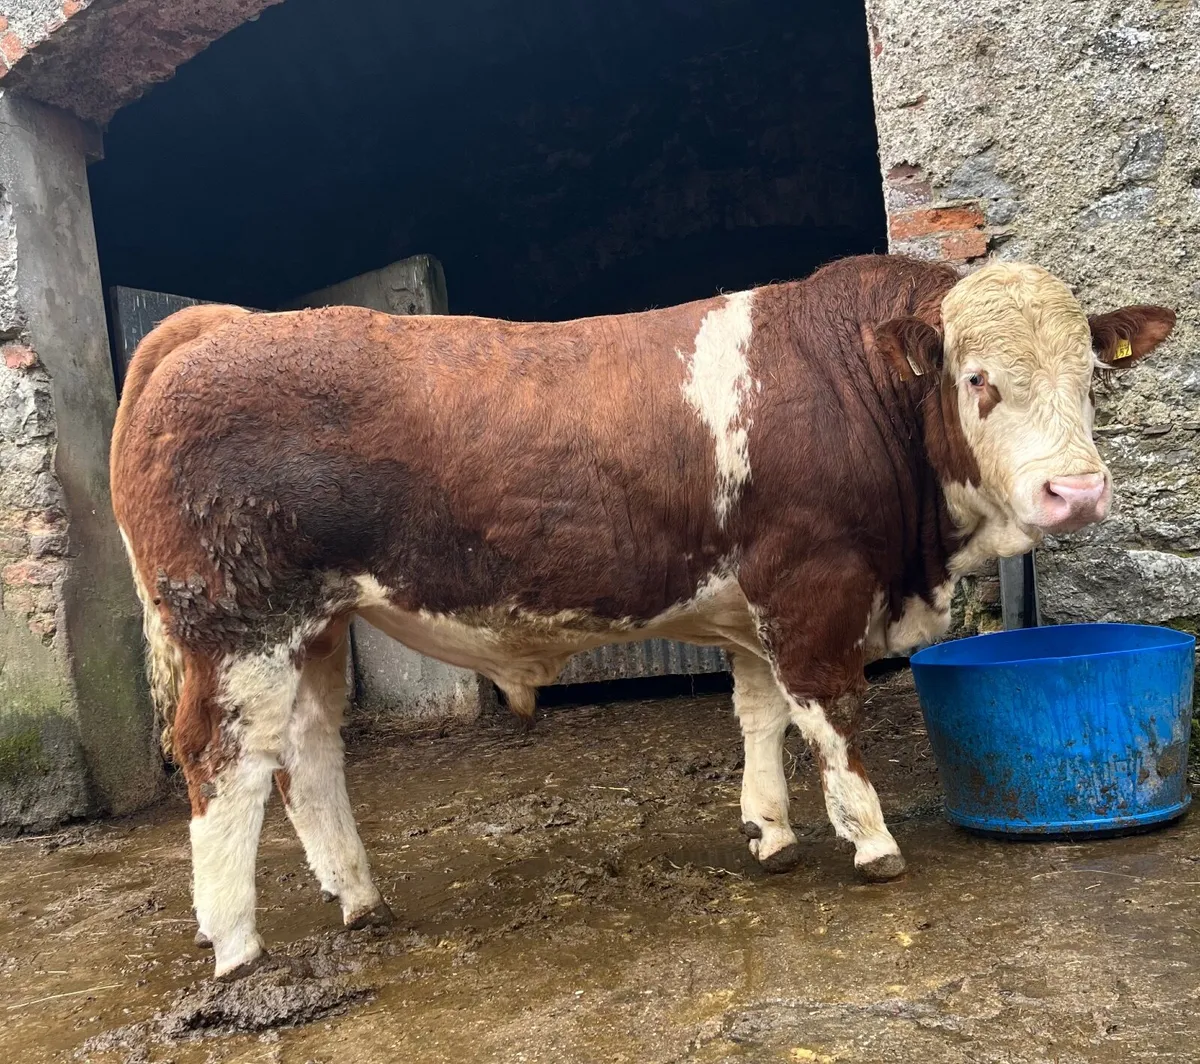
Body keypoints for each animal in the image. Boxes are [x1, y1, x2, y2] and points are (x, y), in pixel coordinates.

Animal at [110, 254, 1175, 980]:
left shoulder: (753, 605)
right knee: (223, 761)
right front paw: (872, 844)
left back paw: (361, 899)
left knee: (309, 752)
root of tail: (219, 326)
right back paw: (237, 946)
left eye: (1092, 375)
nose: (1077, 492)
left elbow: (759, 714)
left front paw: (771, 833)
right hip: (238, 624)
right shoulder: (812, 584)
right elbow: (831, 714)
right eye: (977, 378)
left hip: (317, 626)